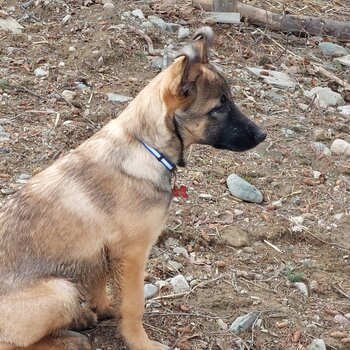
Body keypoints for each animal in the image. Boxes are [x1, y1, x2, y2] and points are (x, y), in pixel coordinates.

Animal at [0, 28, 266, 350]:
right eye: (219, 107)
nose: (263, 135)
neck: (146, 146)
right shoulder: (134, 253)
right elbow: (134, 303)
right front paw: (141, 342)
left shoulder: (103, 252)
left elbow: (102, 286)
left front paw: (105, 310)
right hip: (59, 290)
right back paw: (67, 340)